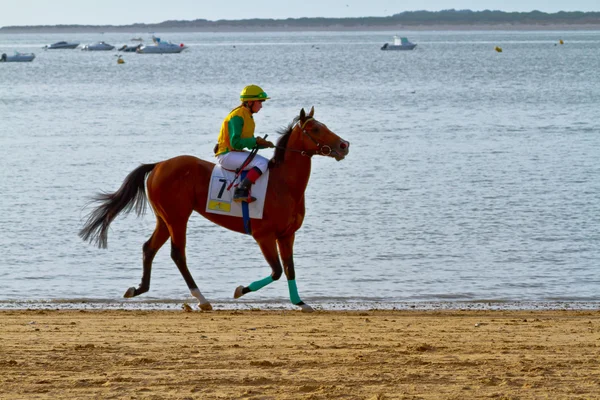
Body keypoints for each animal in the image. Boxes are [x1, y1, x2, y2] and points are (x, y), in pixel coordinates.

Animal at [81, 108, 352, 312]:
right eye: (315, 129)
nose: (344, 145)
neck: (283, 184)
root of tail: (158, 165)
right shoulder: (263, 236)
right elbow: (276, 271)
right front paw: (241, 290)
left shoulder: (287, 235)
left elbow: (289, 268)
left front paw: (300, 302)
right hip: (177, 217)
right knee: (178, 254)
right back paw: (201, 299)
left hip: (164, 218)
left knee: (149, 248)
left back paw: (138, 289)